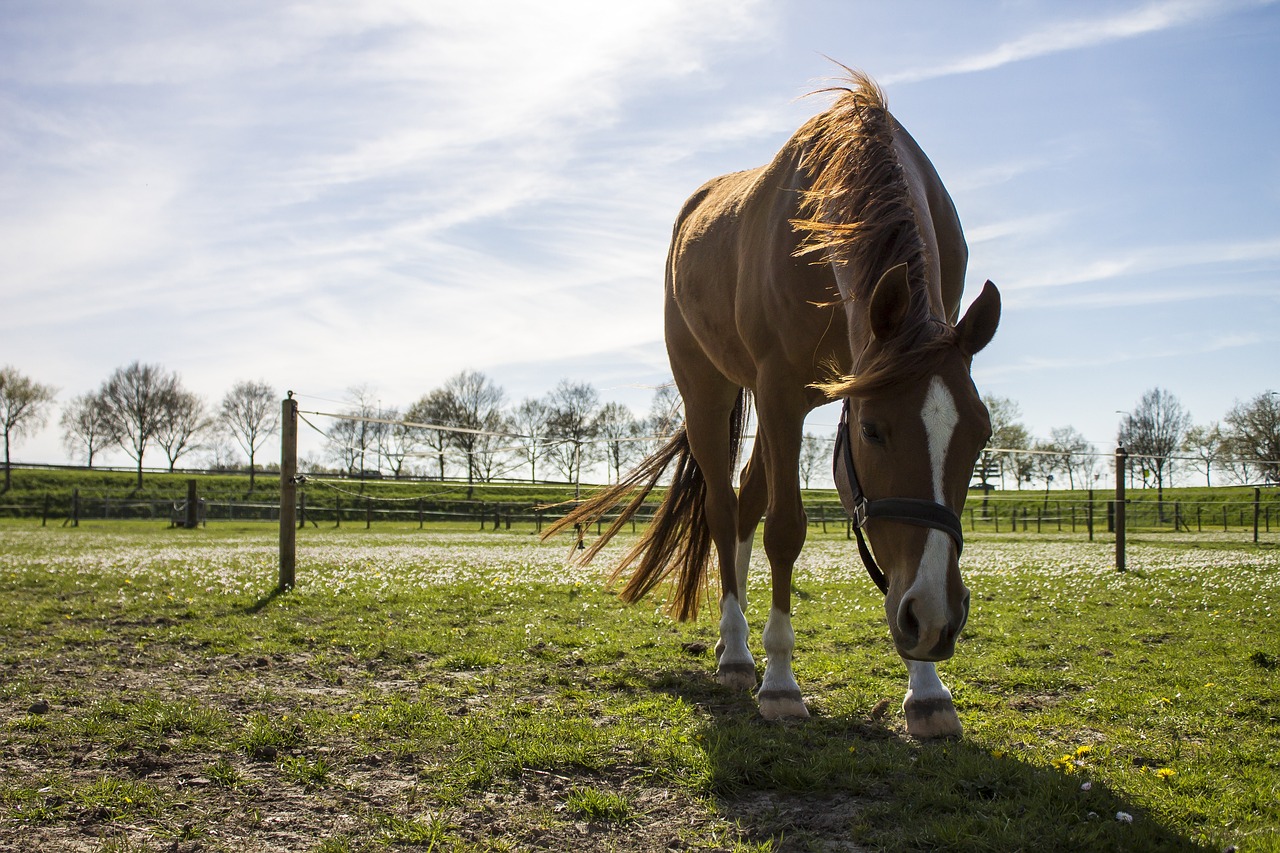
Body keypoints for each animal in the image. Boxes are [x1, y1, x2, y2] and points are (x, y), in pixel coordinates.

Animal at [545, 70, 1000, 738]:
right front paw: (781, 683)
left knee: (746, 499)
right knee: (724, 507)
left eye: (980, 435)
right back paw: (737, 653)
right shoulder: (782, 392)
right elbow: (785, 530)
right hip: (710, 393)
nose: (936, 619)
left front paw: (928, 690)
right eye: (873, 430)